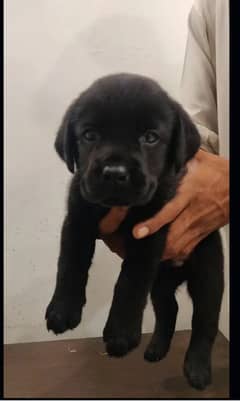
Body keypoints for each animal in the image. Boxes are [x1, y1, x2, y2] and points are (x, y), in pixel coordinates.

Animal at [46, 73, 224, 390]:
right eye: (90, 135)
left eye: (150, 137)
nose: (115, 173)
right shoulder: (77, 217)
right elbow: (69, 263)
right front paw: (62, 310)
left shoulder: (150, 230)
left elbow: (129, 280)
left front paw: (121, 333)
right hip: (161, 284)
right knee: (169, 309)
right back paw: (156, 349)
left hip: (209, 276)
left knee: (205, 323)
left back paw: (197, 369)